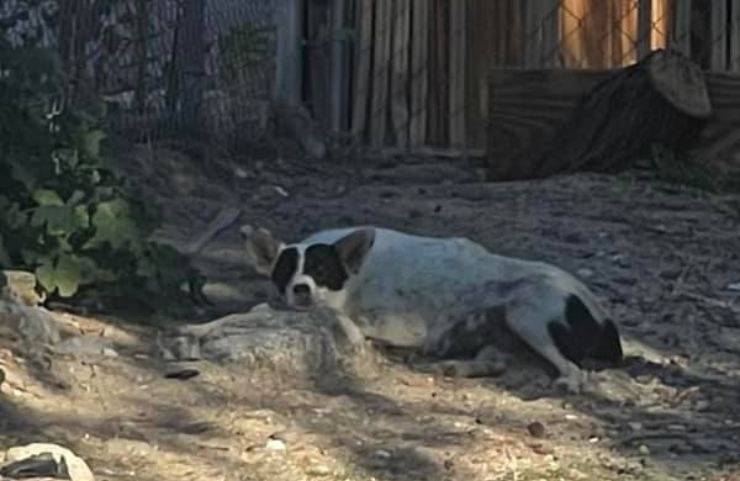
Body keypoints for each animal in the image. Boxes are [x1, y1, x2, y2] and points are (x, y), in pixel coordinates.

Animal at [240, 223, 620, 392]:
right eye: (286, 272)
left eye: (322, 271)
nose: (301, 289)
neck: (354, 278)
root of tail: (605, 317)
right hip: (503, 331)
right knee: (495, 362)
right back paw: (453, 366)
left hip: (527, 314)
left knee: (576, 371)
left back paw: (565, 383)